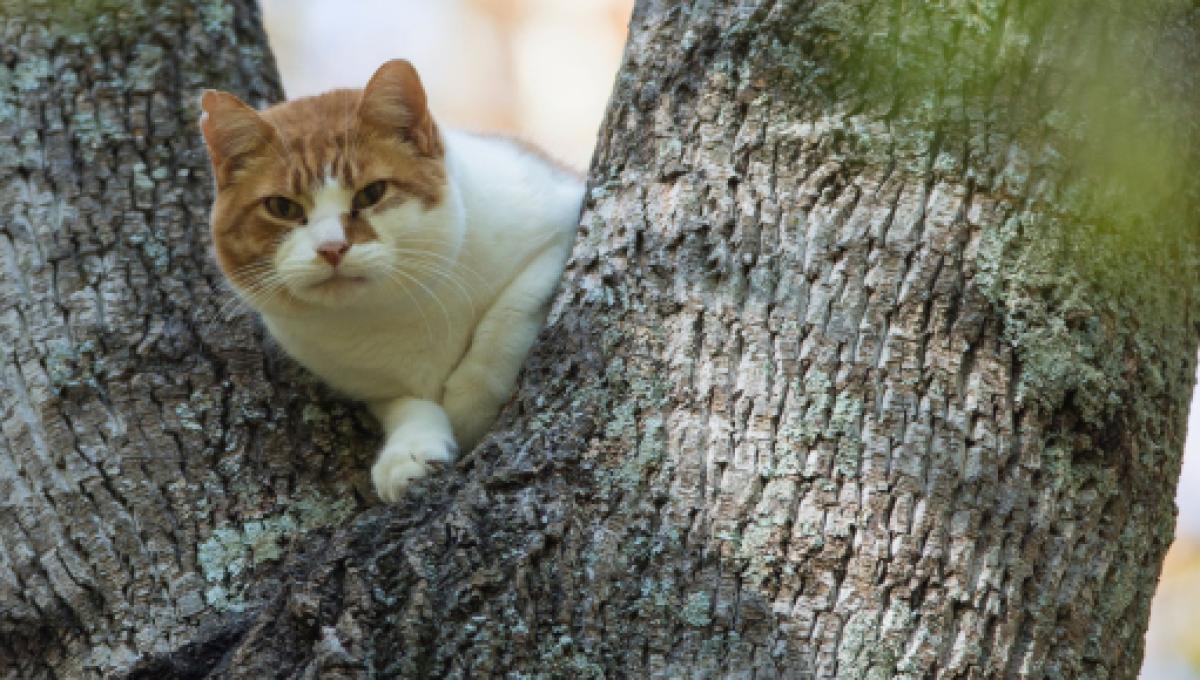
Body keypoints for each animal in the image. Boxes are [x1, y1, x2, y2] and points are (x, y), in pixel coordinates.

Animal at [200, 58, 580, 503]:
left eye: (372, 193)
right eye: (281, 207)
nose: (332, 248)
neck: (396, 316)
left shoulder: (562, 226)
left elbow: (503, 324)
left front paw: (467, 408)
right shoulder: (366, 382)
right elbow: (406, 404)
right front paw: (410, 451)